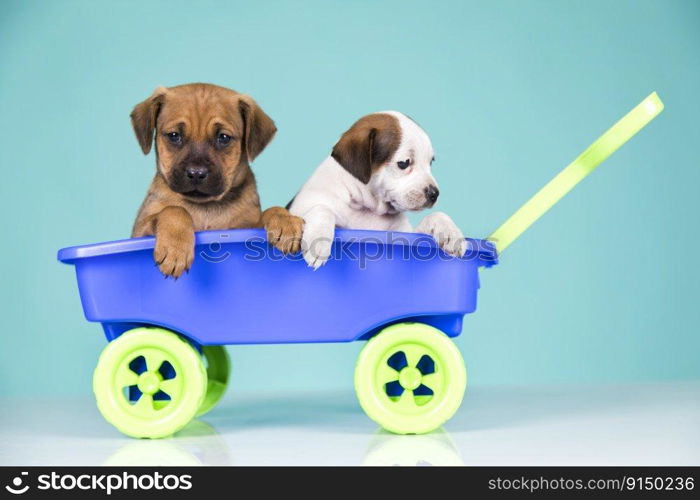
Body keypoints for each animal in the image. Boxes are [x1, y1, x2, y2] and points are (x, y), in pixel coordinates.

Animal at [130, 82, 302, 278]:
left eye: (223, 138)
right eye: (174, 136)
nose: (196, 173)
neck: (205, 208)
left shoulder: (244, 227)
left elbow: (270, 210)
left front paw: (285, 221)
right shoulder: (139, 231)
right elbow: (174, 210)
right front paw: (175, 248)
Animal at [288, 112, 468, 270]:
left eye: (430, 162)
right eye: (404, 163)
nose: (434, 194)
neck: (368, 208)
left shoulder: (406, 233)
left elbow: (436, 215)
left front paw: (451, 233)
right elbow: (322, 209)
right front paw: (318, 242)